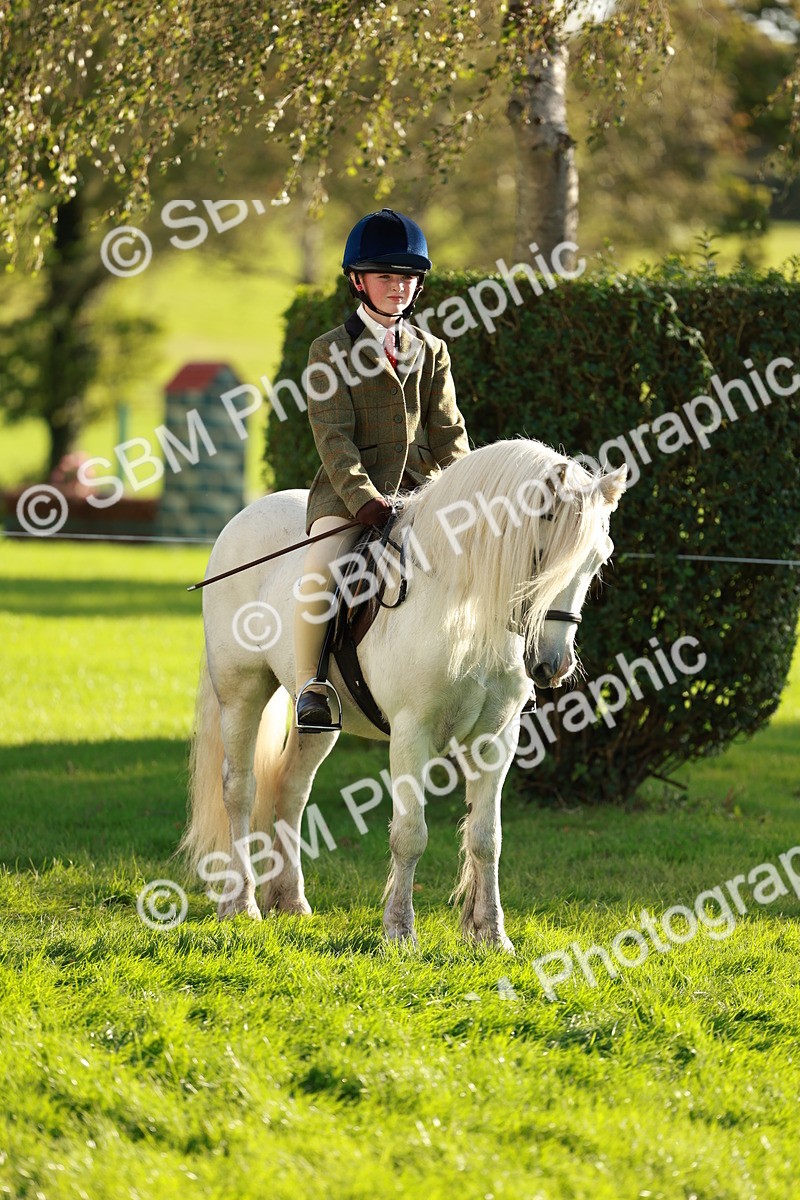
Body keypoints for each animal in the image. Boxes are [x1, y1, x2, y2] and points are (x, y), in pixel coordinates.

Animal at [181, 438, 626, 952]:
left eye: (598, 559)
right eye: (538, 553)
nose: (551, 665)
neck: (463, 604)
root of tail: (244, 516)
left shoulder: (497, 737)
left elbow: (486, 837)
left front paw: (491, 933)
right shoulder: (413, 732)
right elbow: (410, 833)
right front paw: (399, 930)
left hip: (320, 718)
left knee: (291, 789)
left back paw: (290, 901)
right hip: (241, 693)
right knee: (240, 789)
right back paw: (241, 903)